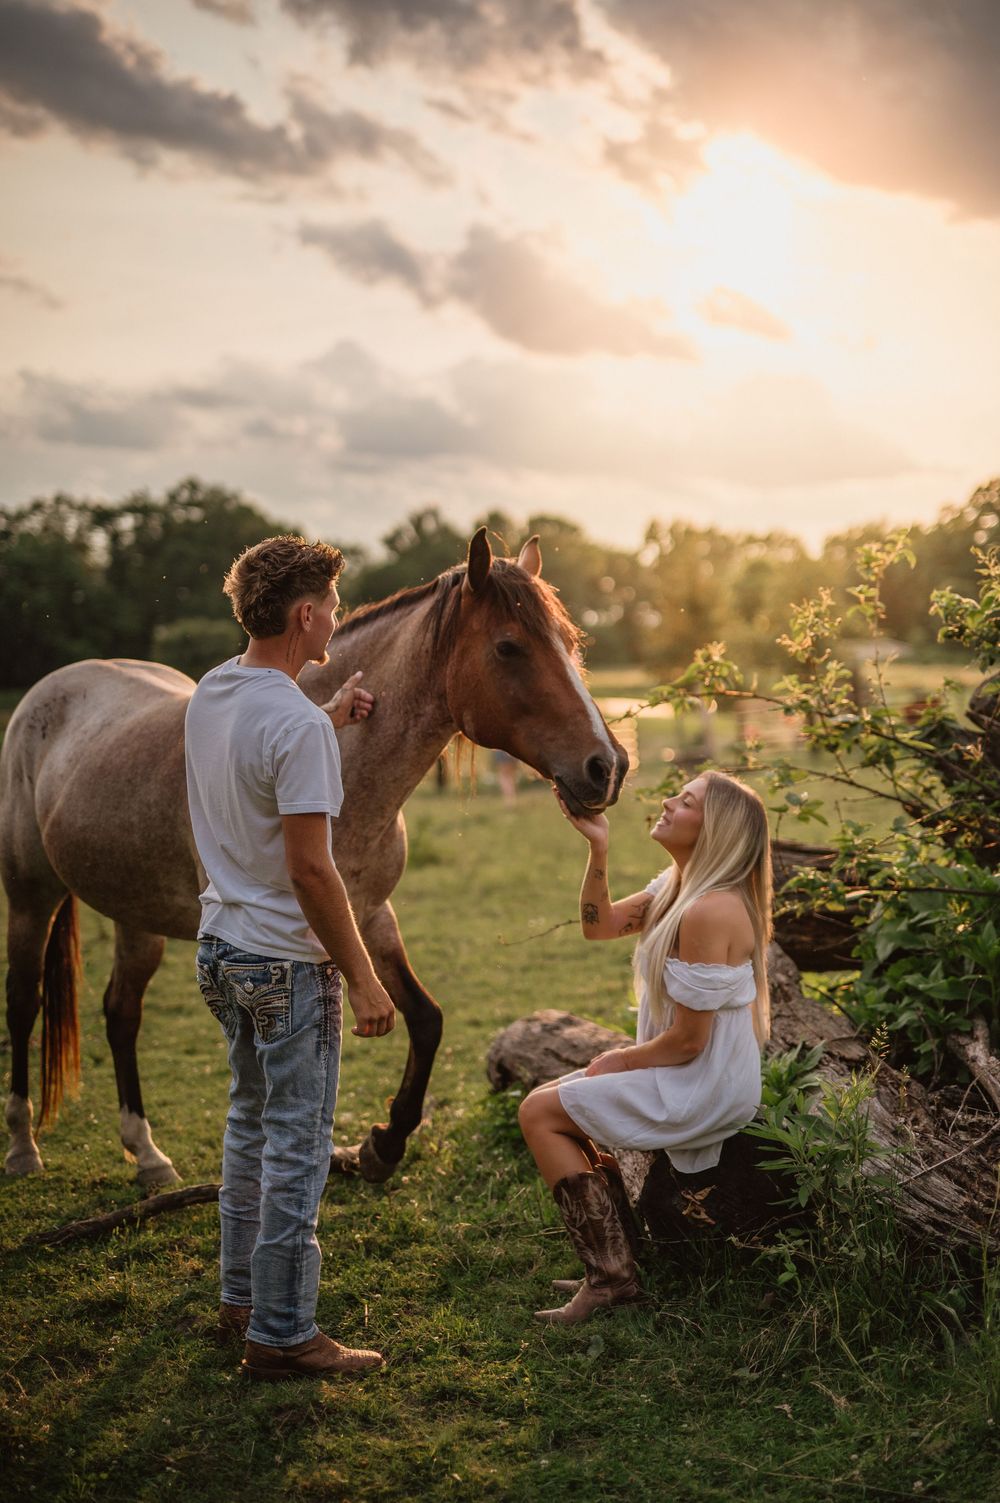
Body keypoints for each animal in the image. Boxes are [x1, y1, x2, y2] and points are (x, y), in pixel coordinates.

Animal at [2, 529, 629, 1186]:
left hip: (134, 915)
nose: (607, 766)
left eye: (572, 643)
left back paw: (147, 1154)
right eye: (509, 647)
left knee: (121, 1014)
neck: (345, 777)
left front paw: (384, 1144)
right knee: (23, 1002)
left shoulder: (368, 915)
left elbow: (425, 1017)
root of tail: (54, 687)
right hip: (30, 894)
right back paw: (23, 1146)